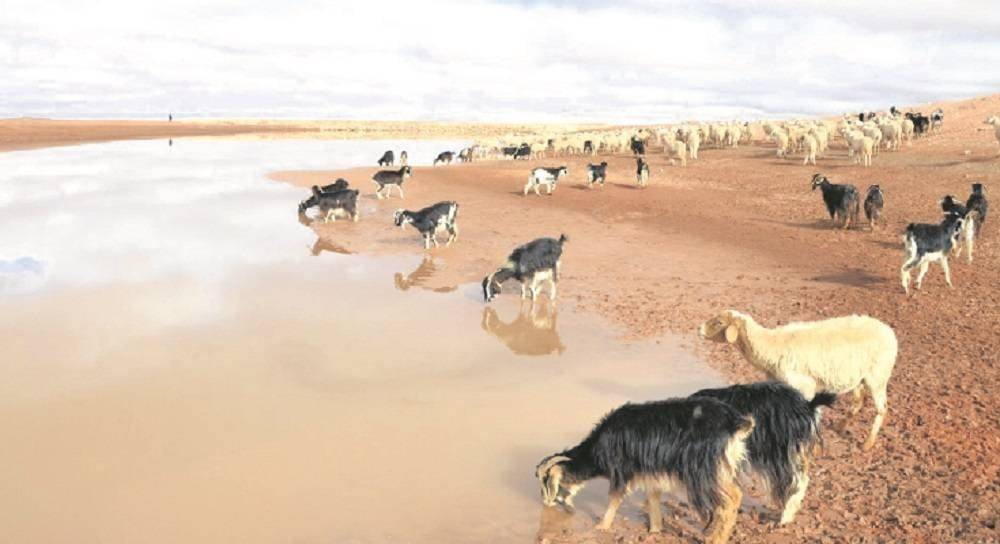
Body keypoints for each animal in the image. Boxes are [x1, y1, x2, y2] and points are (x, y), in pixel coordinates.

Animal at [536, 396, 752, 540]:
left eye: (547, 481)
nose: (546, 503)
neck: (599, 446)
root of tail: (736, 423)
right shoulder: (649, 471)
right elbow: (653, 495)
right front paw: (654, 530)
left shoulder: (621, 470)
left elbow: (615, 497)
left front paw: (601, 526)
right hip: (720, 469)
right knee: (736, 496)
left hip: (703, 471)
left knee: (732, 498)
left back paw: (715, 539)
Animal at [700, 310, 904, 450]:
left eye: (719, 322)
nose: (699, 329)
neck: (770, 345)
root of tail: (888, 331)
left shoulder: (805, 386)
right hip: (859, 377)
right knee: (858, 401)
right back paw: (841, 427)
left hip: (878, 376)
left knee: (882, 408)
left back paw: (867, 444)